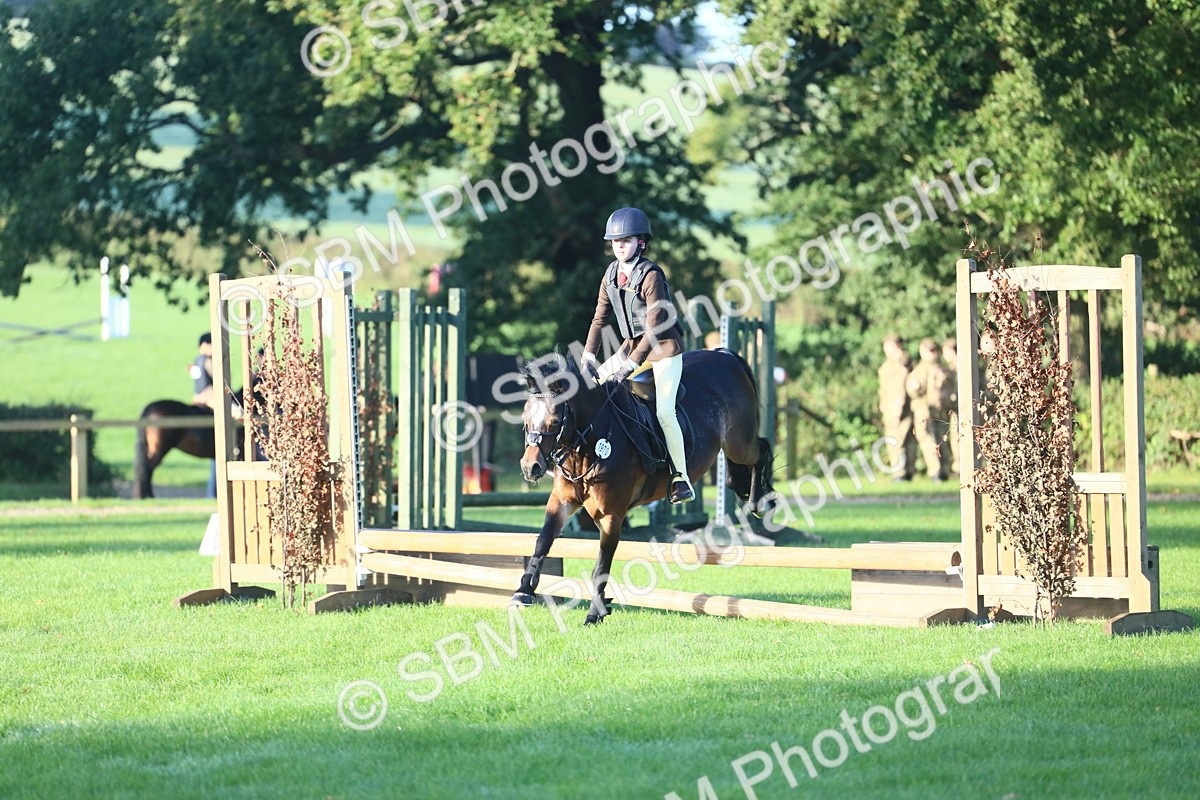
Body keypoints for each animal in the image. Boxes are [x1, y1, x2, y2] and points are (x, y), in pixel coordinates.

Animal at [511, 349, 777, 624]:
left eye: (554, 422)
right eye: (525, 419)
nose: (530, 468)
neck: (586, 445)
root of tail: (723, 354)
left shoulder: (611, 515)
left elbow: (601, 564)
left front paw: (595, 613)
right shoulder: (561, 501)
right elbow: (543, 540)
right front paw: (523, 592)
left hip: (739, 443)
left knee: (761, 449)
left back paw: (760, 502)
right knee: (737, 475)